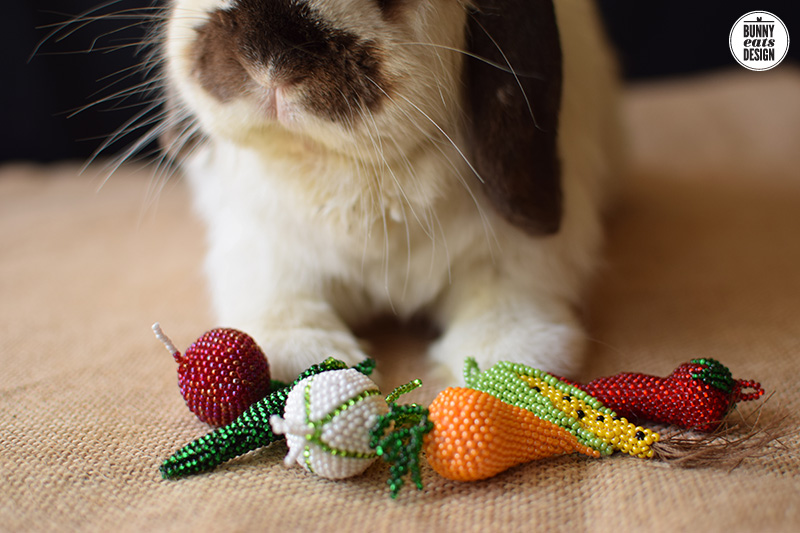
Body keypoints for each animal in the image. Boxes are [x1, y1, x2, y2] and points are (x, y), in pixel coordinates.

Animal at [160, 0, 622, 385]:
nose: (267, 59)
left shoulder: (521, 254)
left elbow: (510, 292)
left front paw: (499, 358)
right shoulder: (263, 243)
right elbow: (280, 294)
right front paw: (305, 355)